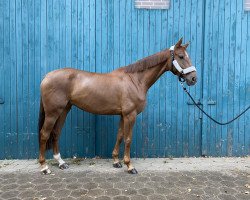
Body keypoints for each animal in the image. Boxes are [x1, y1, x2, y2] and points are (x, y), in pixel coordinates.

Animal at [38, 37, 197, 173]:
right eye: (181, 56)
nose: (193, 78)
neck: (135, 80)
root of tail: (47, 76)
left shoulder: (122, 115)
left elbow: (119, 136)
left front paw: (116, 161)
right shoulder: (130, 115)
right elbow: (128, 139)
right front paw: (129, 166)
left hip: (64, 110)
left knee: (56, 133)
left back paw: (61, 163)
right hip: (53, 113)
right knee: (44, 134)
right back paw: (44, 167)